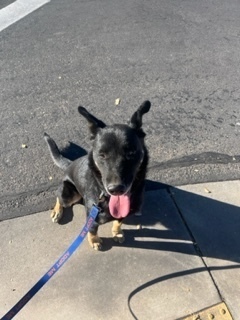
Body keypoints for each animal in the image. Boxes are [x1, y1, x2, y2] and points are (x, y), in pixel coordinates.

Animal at [44, 100, 151, 250]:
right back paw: (57, 211)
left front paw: (117, 232)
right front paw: (94, 240)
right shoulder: (92, 218)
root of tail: (70, 164)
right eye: (102, 155)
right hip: (69, 195)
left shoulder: (122, 213)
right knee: (59, 197)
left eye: (131, 153)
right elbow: (92, 230)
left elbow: (118, 221)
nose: (116, 189)